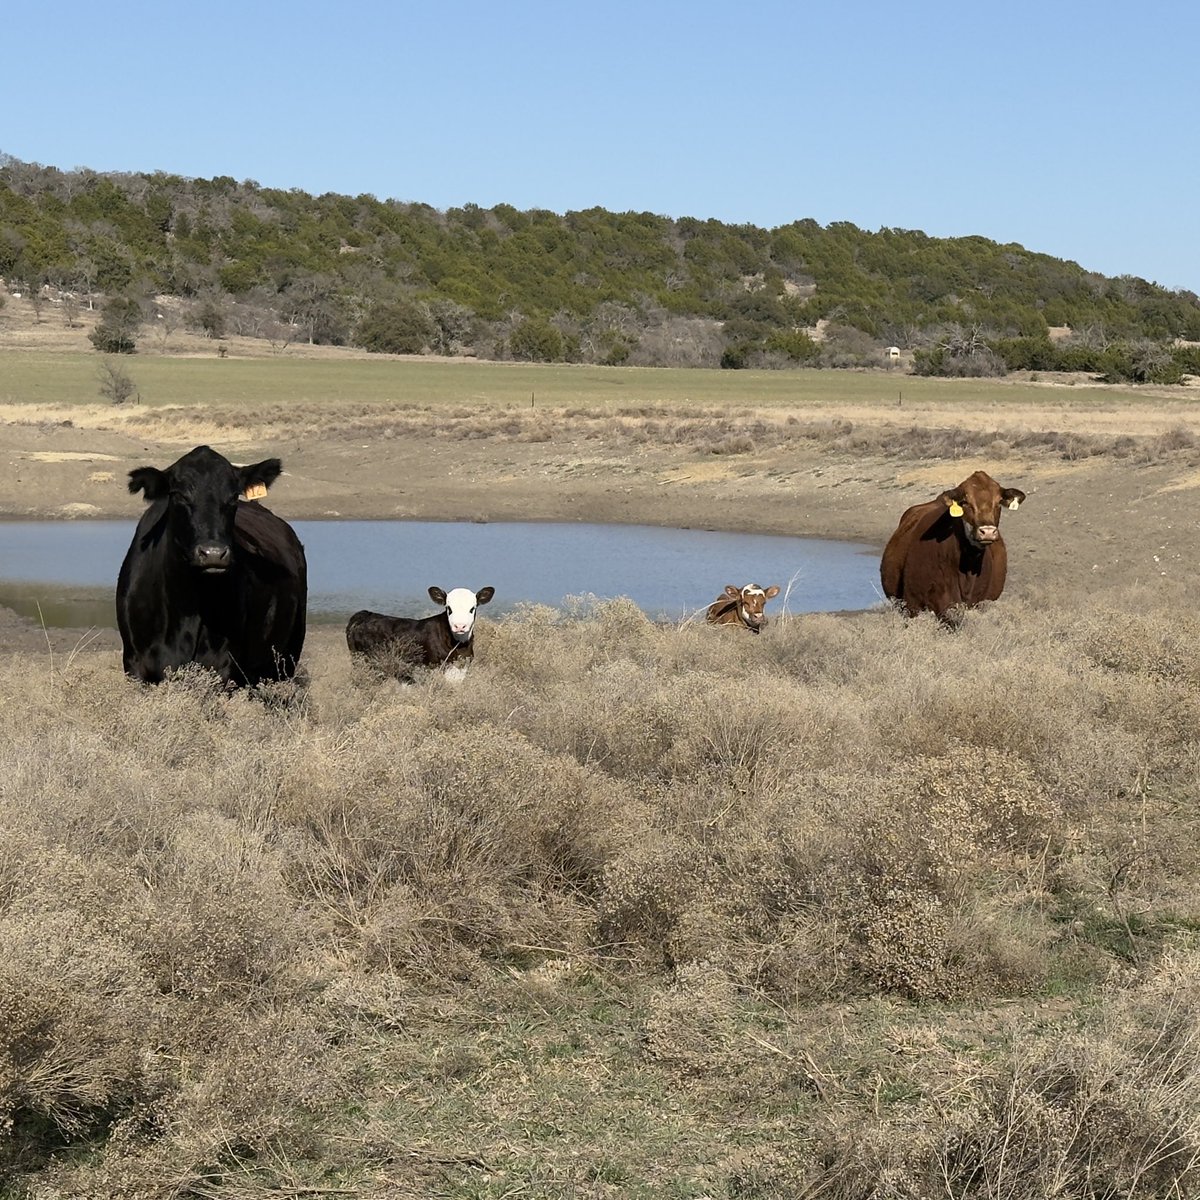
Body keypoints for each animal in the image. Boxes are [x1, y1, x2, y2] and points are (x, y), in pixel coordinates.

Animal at [116, 445, 307, 687]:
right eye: (179, 494)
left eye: (233, 496)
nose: (213, 553)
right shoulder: (136, 664)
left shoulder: (223, 666)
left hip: (286, 659)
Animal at [346, 586, 495, 682]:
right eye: (449, 608)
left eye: (472, 608)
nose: (459, 626)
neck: (459, 646)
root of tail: (365, 614)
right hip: (364, 662)